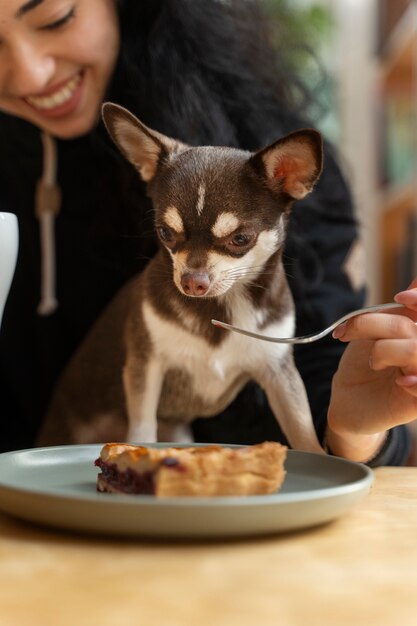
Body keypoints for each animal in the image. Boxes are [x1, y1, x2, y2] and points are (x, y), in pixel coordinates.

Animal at [37, 102, 324, 450]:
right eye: (165, 233)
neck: (222, 305)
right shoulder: (145, 364)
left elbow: (302, 429)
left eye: (241, 239)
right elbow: (142, 428)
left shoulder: (280, 373)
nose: (192, 281)